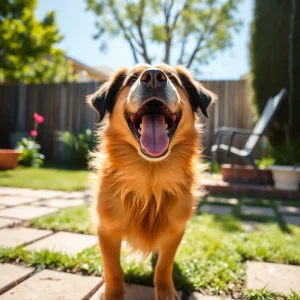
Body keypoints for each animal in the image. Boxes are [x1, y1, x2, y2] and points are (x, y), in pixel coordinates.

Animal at [86, 63, 216, 300]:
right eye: (131, 80)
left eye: (173, 78)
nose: (154, 76)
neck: (150, 180)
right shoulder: (107, 231)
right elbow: (114, 270)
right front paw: (113, 294)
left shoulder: (174, 232)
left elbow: (164, 266)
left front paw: (165, 291)